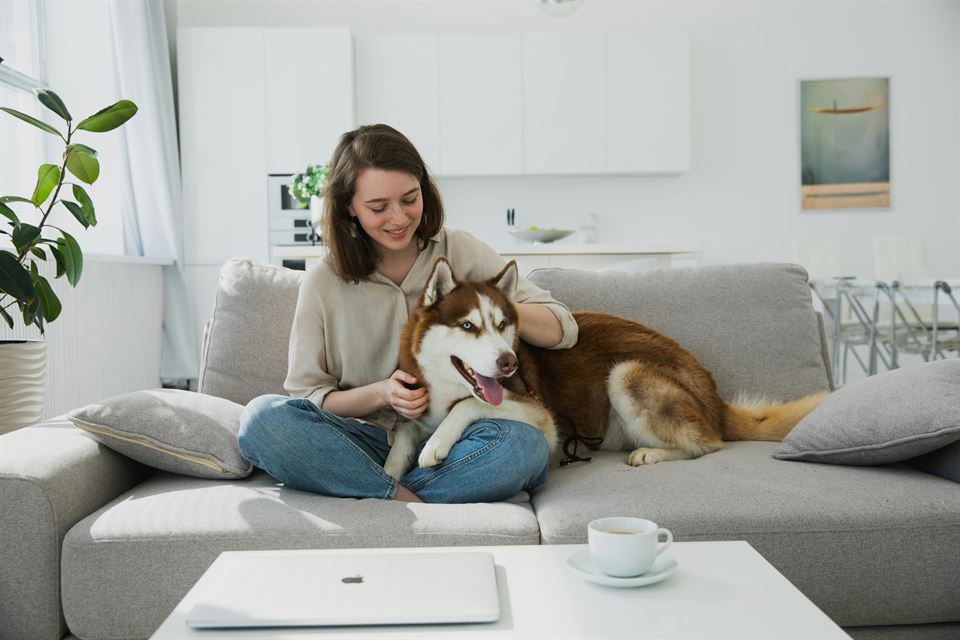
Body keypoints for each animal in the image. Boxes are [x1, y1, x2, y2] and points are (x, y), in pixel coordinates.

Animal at [382, 256, 824, 480]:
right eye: (468, 326)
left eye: (503, 324)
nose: (509, 361)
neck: (445, 385)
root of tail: (714, 397)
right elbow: (404, 429)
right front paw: (389, 469)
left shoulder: (541, 417)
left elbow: (466, 406)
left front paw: (436, 444)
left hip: (627, 373)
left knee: (708, 444)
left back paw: (651, 454)